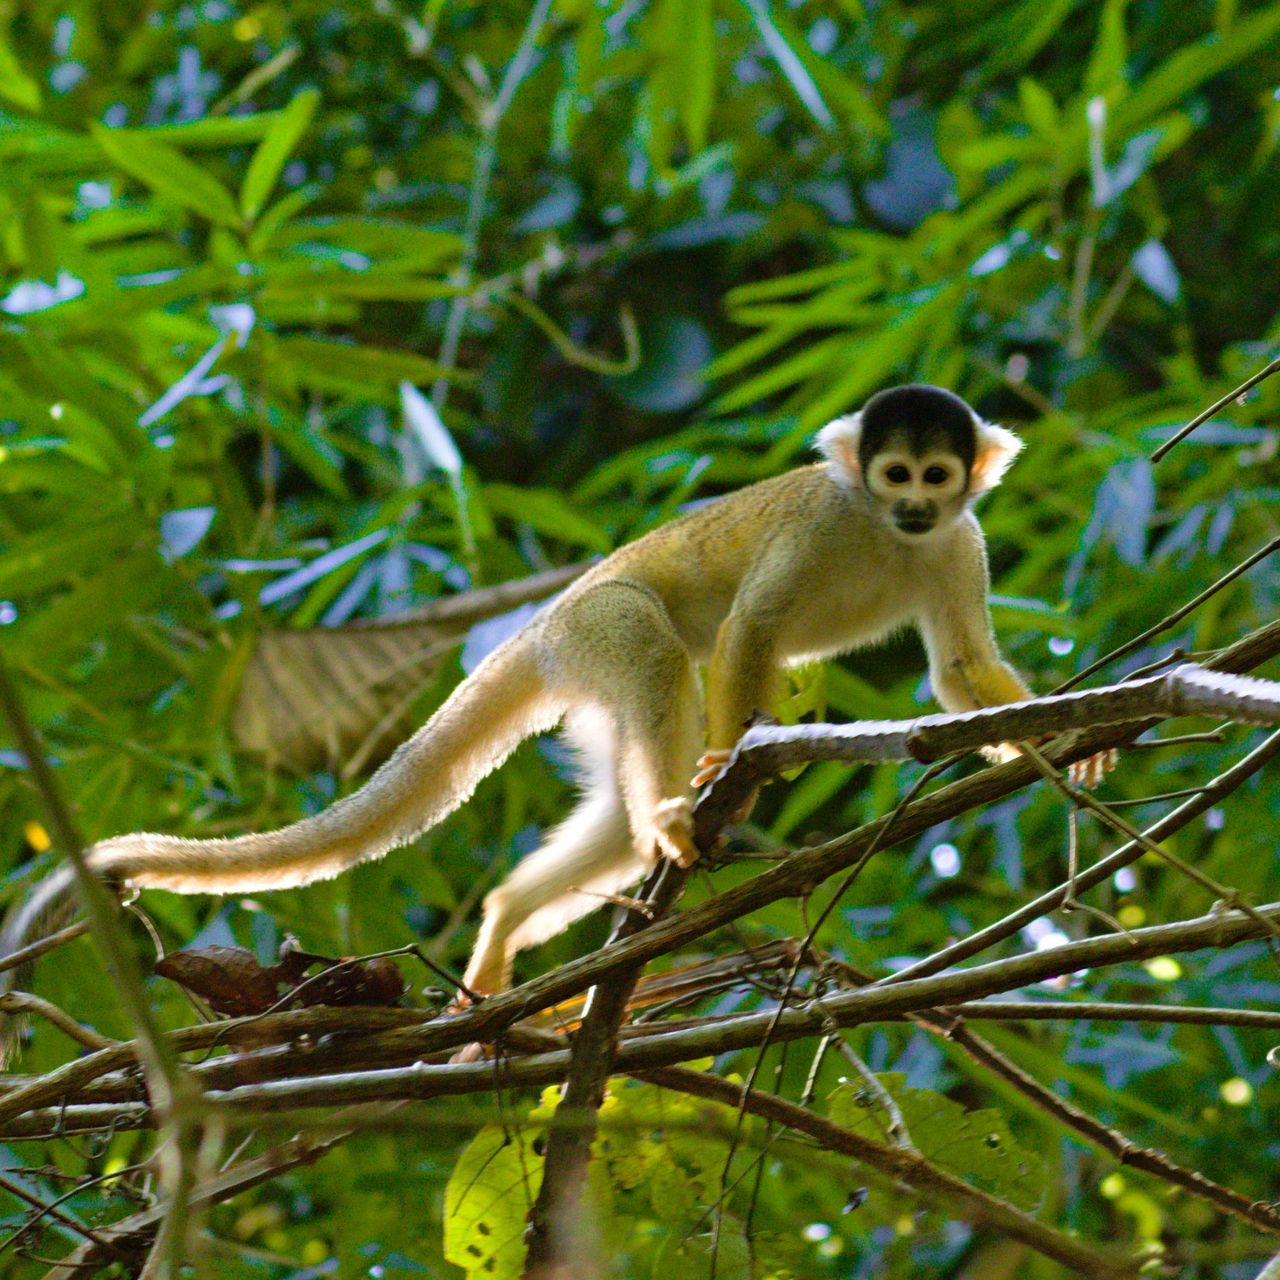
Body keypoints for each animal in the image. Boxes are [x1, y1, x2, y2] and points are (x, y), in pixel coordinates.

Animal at [0, 384, 1067, 1058]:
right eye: (894, 475)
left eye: (937, 477)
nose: (916, 506)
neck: (887, 536)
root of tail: (546, 624)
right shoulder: (824, 522)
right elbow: (748, 632)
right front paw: (733, 751)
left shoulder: (961, 541)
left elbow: (960, 671)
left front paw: (1054, 746)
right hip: (601, 626)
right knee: (661, 658)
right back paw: (670, 813)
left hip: (588, 683)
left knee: (613, 821)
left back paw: (516, 916)